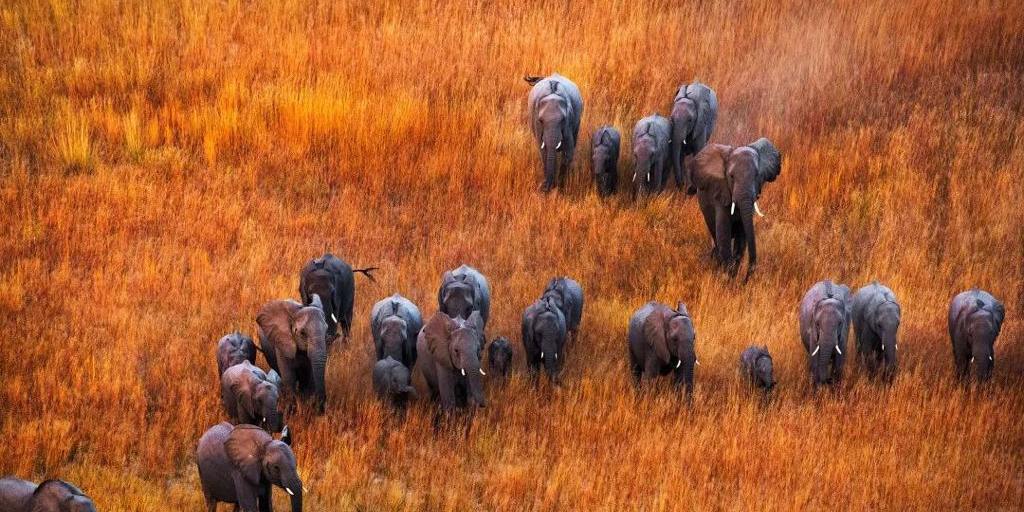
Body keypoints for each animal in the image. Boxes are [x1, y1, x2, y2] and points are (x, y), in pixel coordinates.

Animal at [685, 137, 781, 279]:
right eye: (731, 176)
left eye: (757, 175)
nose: (745, 280)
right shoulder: (720, 194)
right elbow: (723, 234)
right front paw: (728, 277)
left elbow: (742, 237)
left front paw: (733, 275)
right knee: (715, 235)